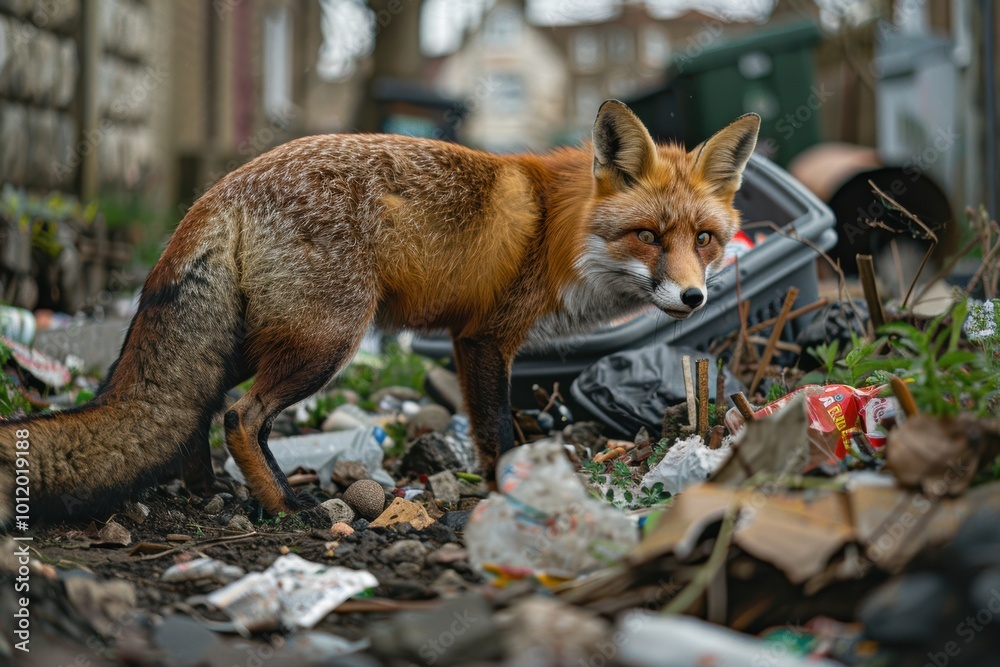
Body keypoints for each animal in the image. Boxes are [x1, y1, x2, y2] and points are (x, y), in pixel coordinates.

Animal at [0, 101, 759, 523]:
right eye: (648, 236)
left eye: (704, 239)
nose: (693, 297)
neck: (556, 229)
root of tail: (222, 188)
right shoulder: (483, 340)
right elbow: (497, 432)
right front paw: (511, 493)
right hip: (327, 341)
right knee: (240, 416)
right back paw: (284, 507)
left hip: (258, 339)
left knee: (200, 406)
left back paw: (207, 489)